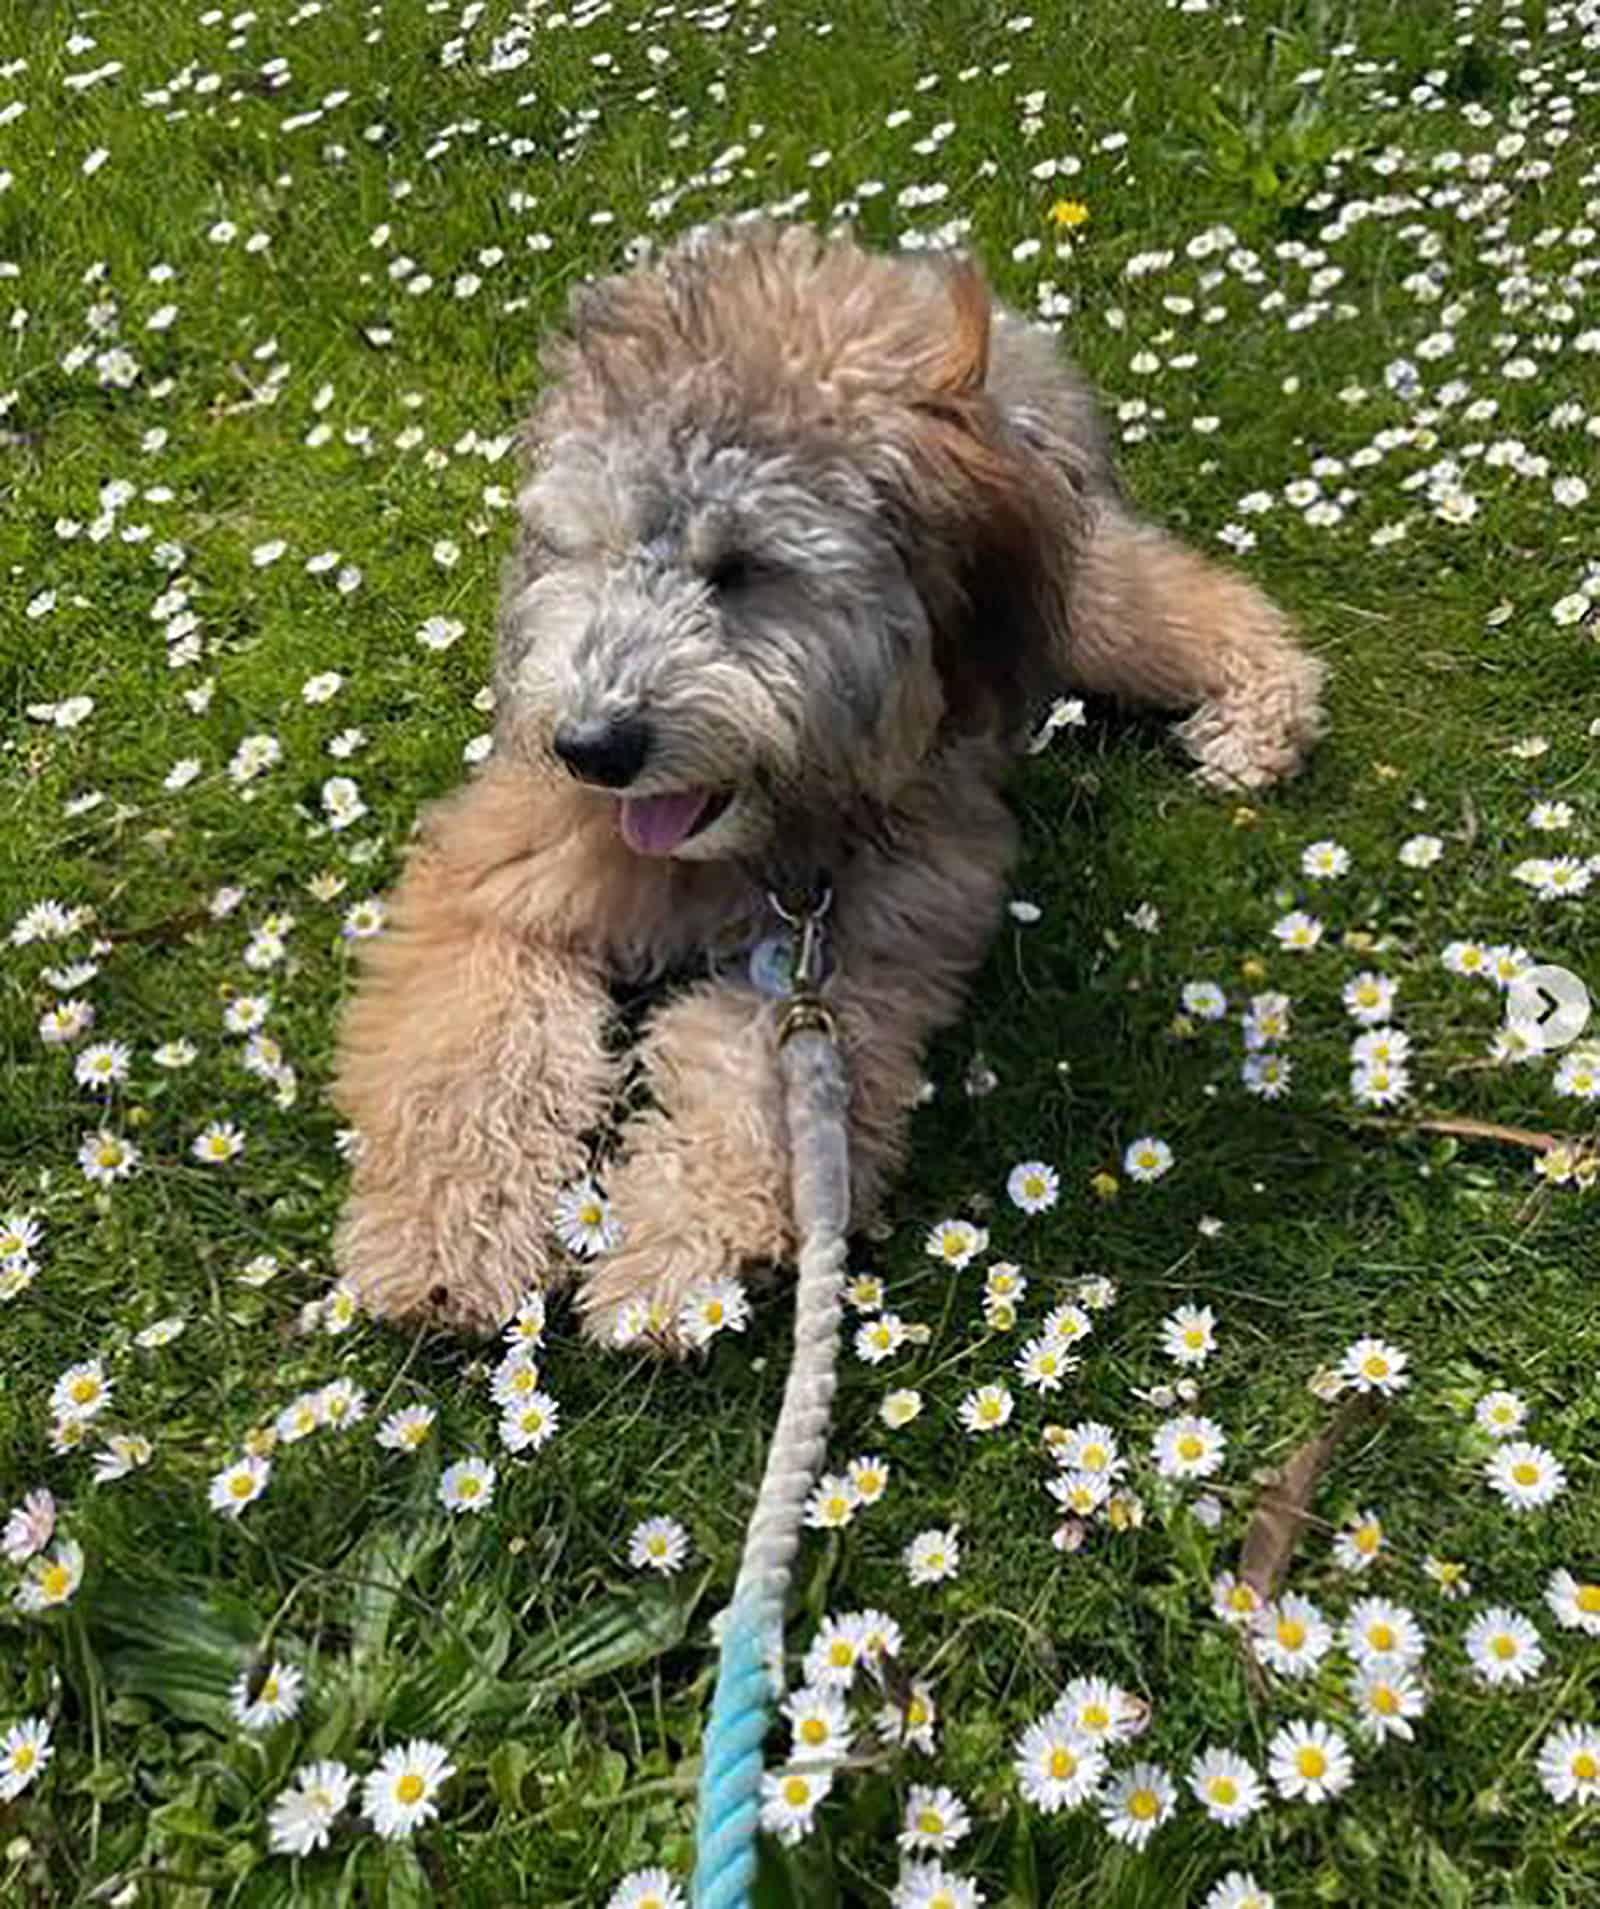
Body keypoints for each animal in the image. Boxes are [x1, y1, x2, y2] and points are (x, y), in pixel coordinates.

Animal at [328, 223, 1328, 1351]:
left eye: (743, 567)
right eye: (592, 548)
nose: (593, 747)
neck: (759, 839)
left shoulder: (850, 952)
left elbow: (751, 1098)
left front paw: (670, 1258)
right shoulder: (504, 879)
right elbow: (468, 1058)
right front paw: (442, 1242)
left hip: (1078, 598)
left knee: (1194, 595)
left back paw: (1264, 708)